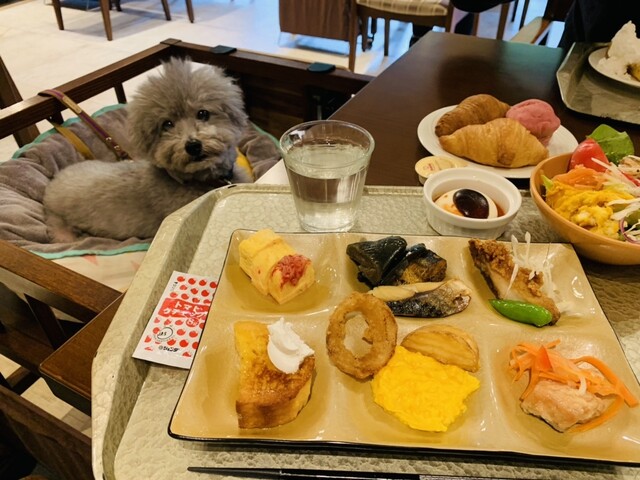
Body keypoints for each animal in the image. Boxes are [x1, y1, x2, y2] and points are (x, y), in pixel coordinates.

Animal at [43, 57, 252, 242]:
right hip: (59, 222)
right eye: (167, 124)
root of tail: (51, 185)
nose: (192, 146)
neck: (201, 180)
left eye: (203, 113)